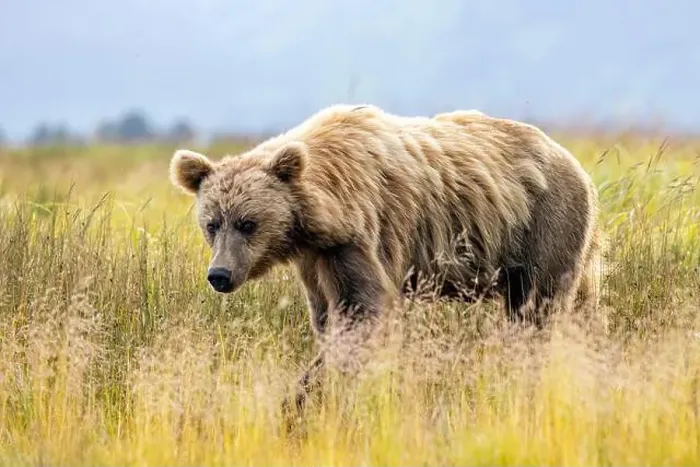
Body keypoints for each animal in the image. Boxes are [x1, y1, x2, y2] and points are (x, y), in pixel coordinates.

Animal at [169, 103, 600, 415]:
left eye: (248, 222)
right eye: (212, 223)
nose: (219, 274)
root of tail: (576, 164)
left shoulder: (363, 236)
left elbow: (362, 312)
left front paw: (304, 397)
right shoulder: (316, 258)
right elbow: (327, 316)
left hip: (543, 223)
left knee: (535, 309)